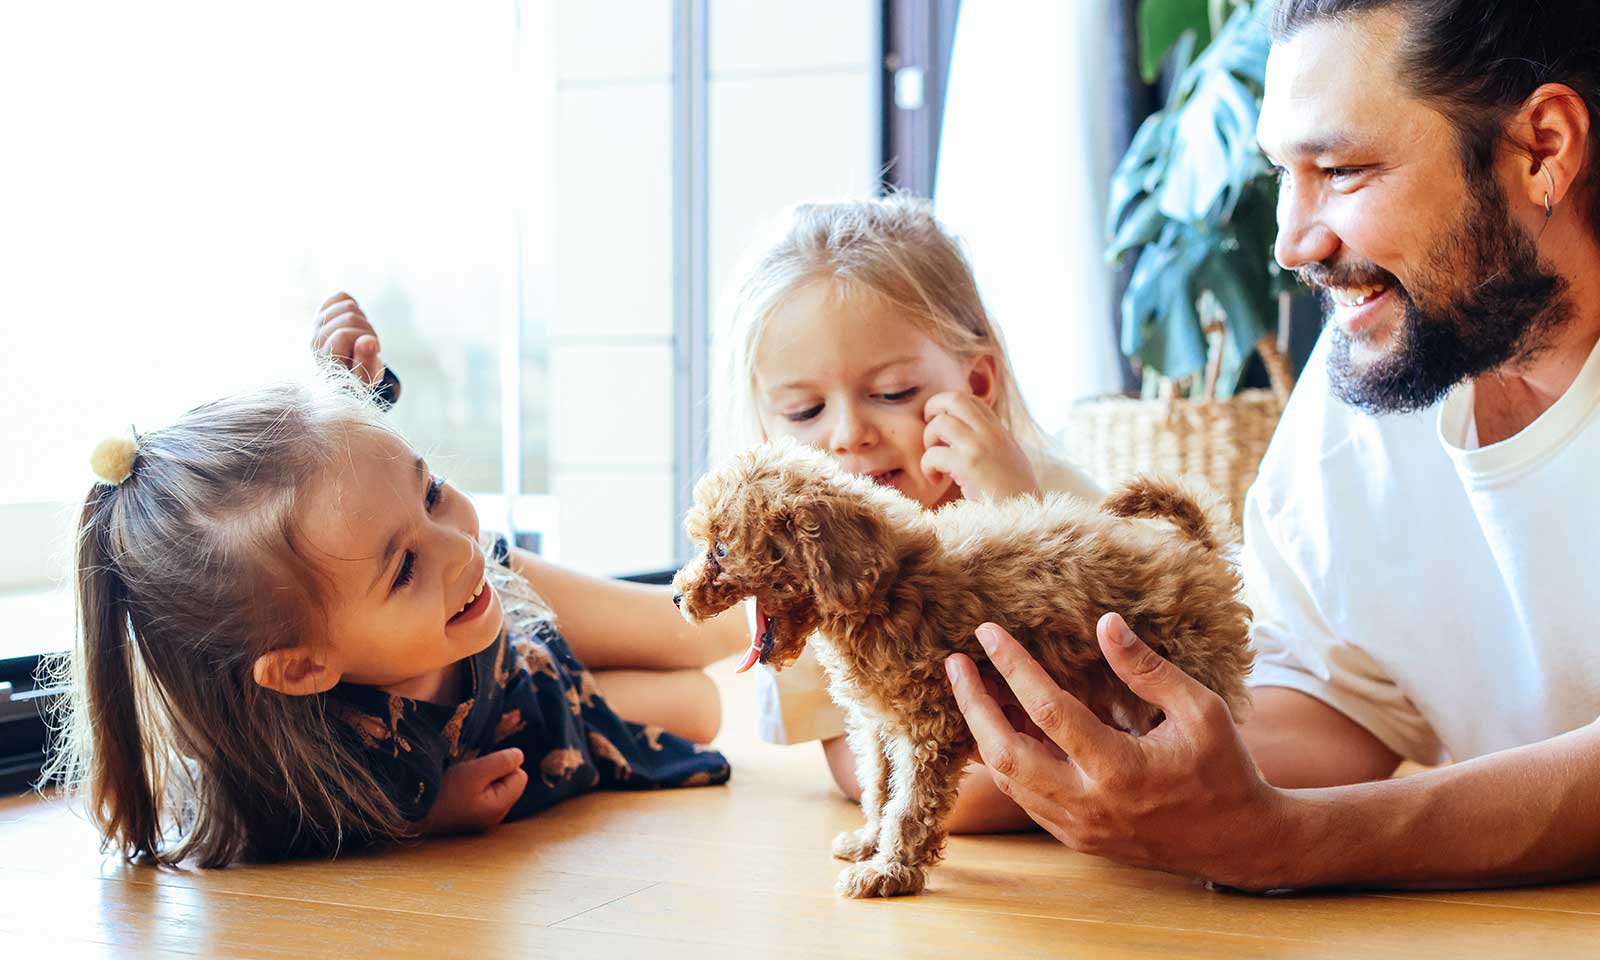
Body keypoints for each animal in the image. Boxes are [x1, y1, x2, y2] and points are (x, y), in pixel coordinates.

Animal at [668, 441, 1254, 902]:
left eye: (720, 549)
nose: (675, 596)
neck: (884, 588)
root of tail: (1197, 546)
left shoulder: (933, 723)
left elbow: (910, 804)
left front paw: (889, 872)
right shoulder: (882, 723)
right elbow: (879, 787)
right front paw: (869, 842)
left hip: (1189, 672)